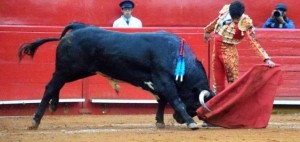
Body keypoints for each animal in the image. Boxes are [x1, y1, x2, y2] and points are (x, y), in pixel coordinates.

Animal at [18, 22, 213, 130]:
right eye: (197, 104)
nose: (178, 119)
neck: (176, 55)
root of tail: (78, 27)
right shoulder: (164, 81)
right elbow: (176, 100)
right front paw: (190, 122)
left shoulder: (160, 83)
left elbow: (162, 101)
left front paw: (160, 122)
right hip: (68, 69)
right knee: (51, 86)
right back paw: (35, 120)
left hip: (73, 71)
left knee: (55, 85)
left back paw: (53, 105)